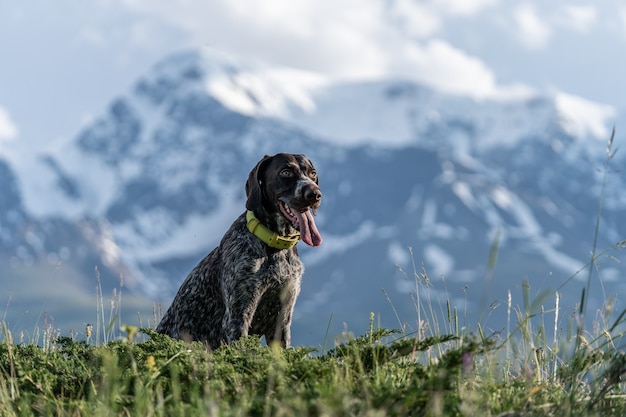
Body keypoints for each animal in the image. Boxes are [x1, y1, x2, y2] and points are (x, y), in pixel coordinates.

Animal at [155, 153, 322, 348]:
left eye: (312, 173)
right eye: (286, 172)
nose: (315, 194)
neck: (274, 248)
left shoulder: (283, 318)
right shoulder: (238, 316)